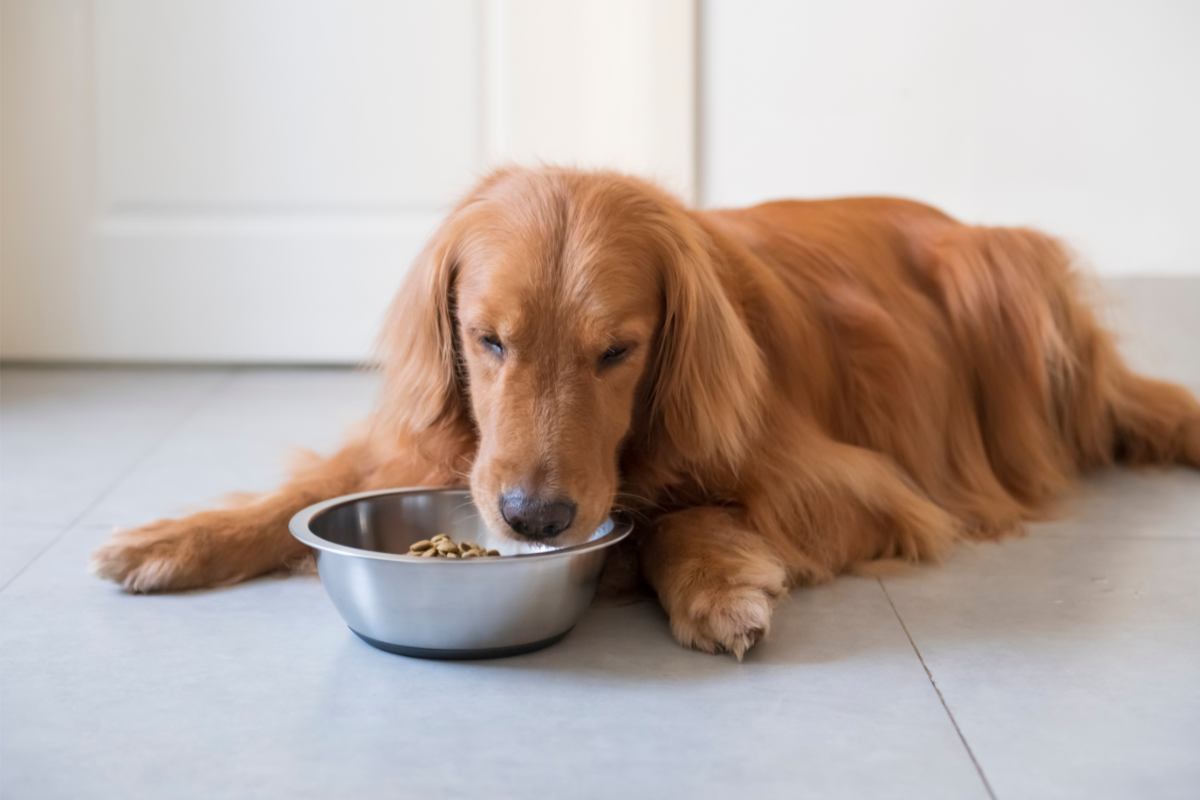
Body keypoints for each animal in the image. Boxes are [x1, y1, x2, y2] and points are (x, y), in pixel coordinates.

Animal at [93, 164, 1200, 657]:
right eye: (488, 339)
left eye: (617, 352)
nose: (534, 519)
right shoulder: (431, 442)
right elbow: (309, 489)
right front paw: (175, 537)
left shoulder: (859, 486)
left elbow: (676, 515)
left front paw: (714, 584)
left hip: (1006, 290)